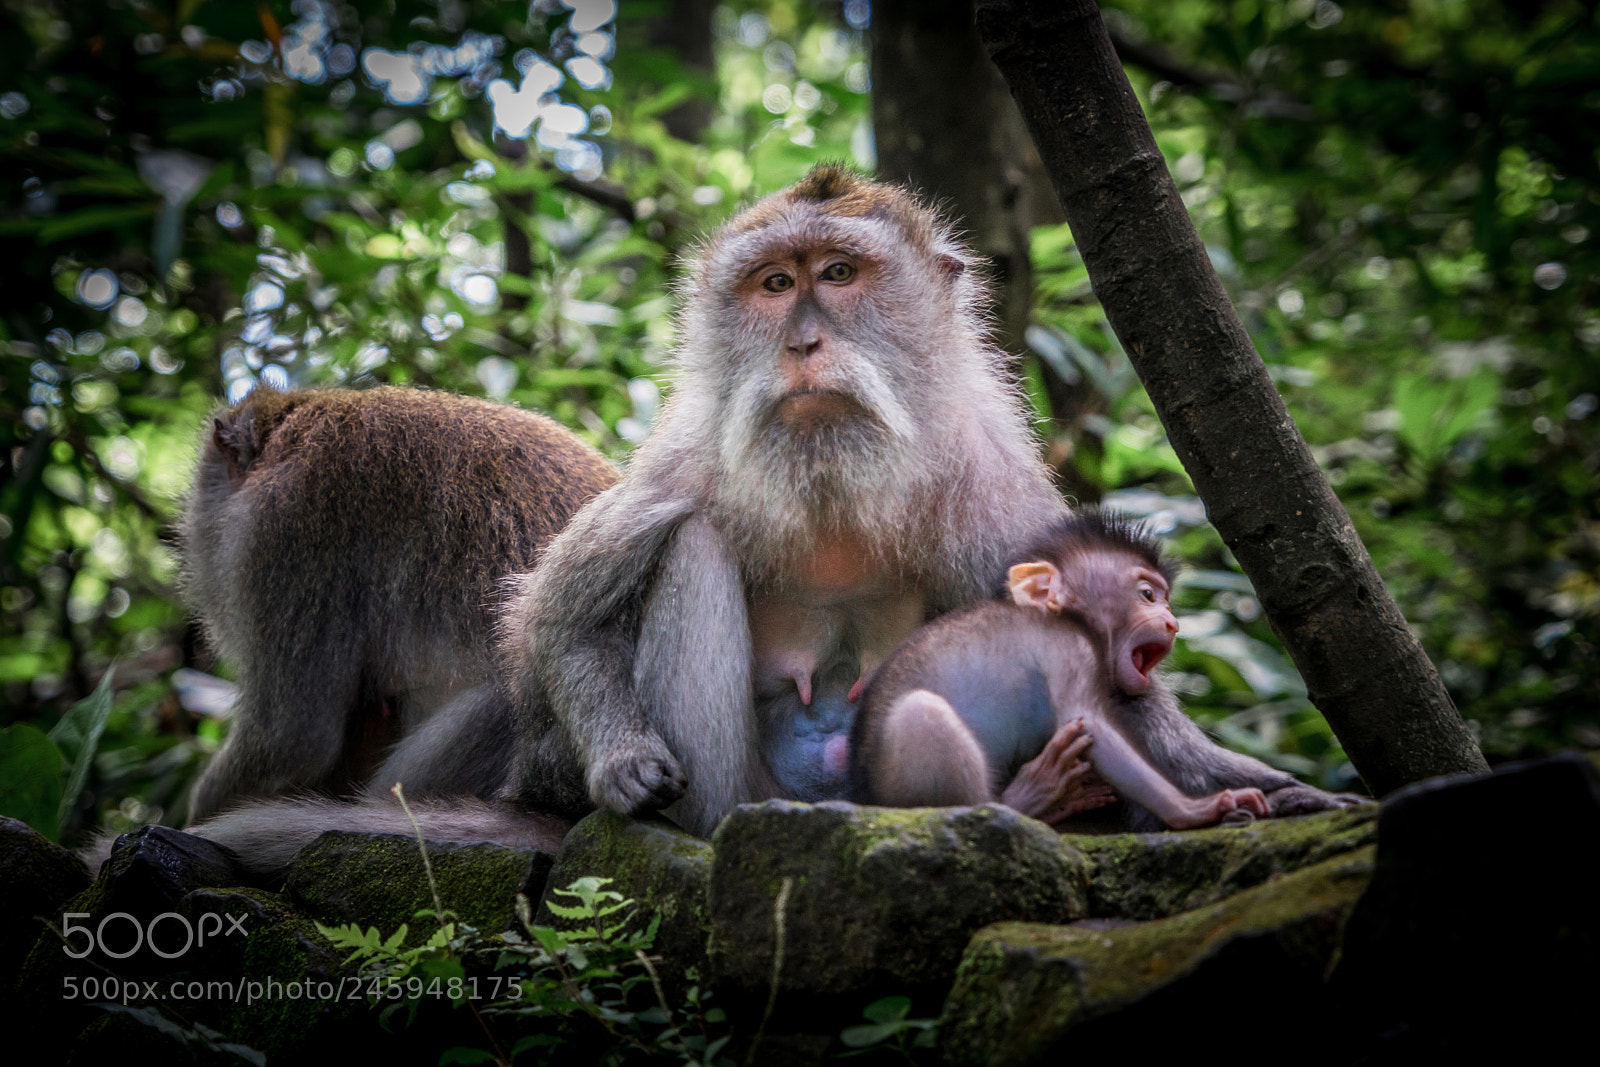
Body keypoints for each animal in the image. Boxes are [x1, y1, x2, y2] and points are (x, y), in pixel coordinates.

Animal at [851, 510, 1367, 831]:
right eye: (1147, 596)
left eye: (1165, 600)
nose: (1172, 622)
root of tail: (864, 796)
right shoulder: (1068, 649)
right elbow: (1091, 725)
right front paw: (1194, 812)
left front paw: (1302, 796)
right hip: (902, 791)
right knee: (922, 713)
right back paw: (1026, 800)